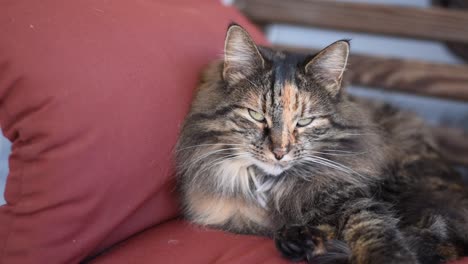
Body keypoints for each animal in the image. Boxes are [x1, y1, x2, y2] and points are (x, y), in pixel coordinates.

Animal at [175, 23, 468, 262]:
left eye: (304, 122)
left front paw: (386, 257)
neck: (273, 187)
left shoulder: (352, 196)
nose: (279, 152)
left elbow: (372, 227)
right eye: (256, 116)